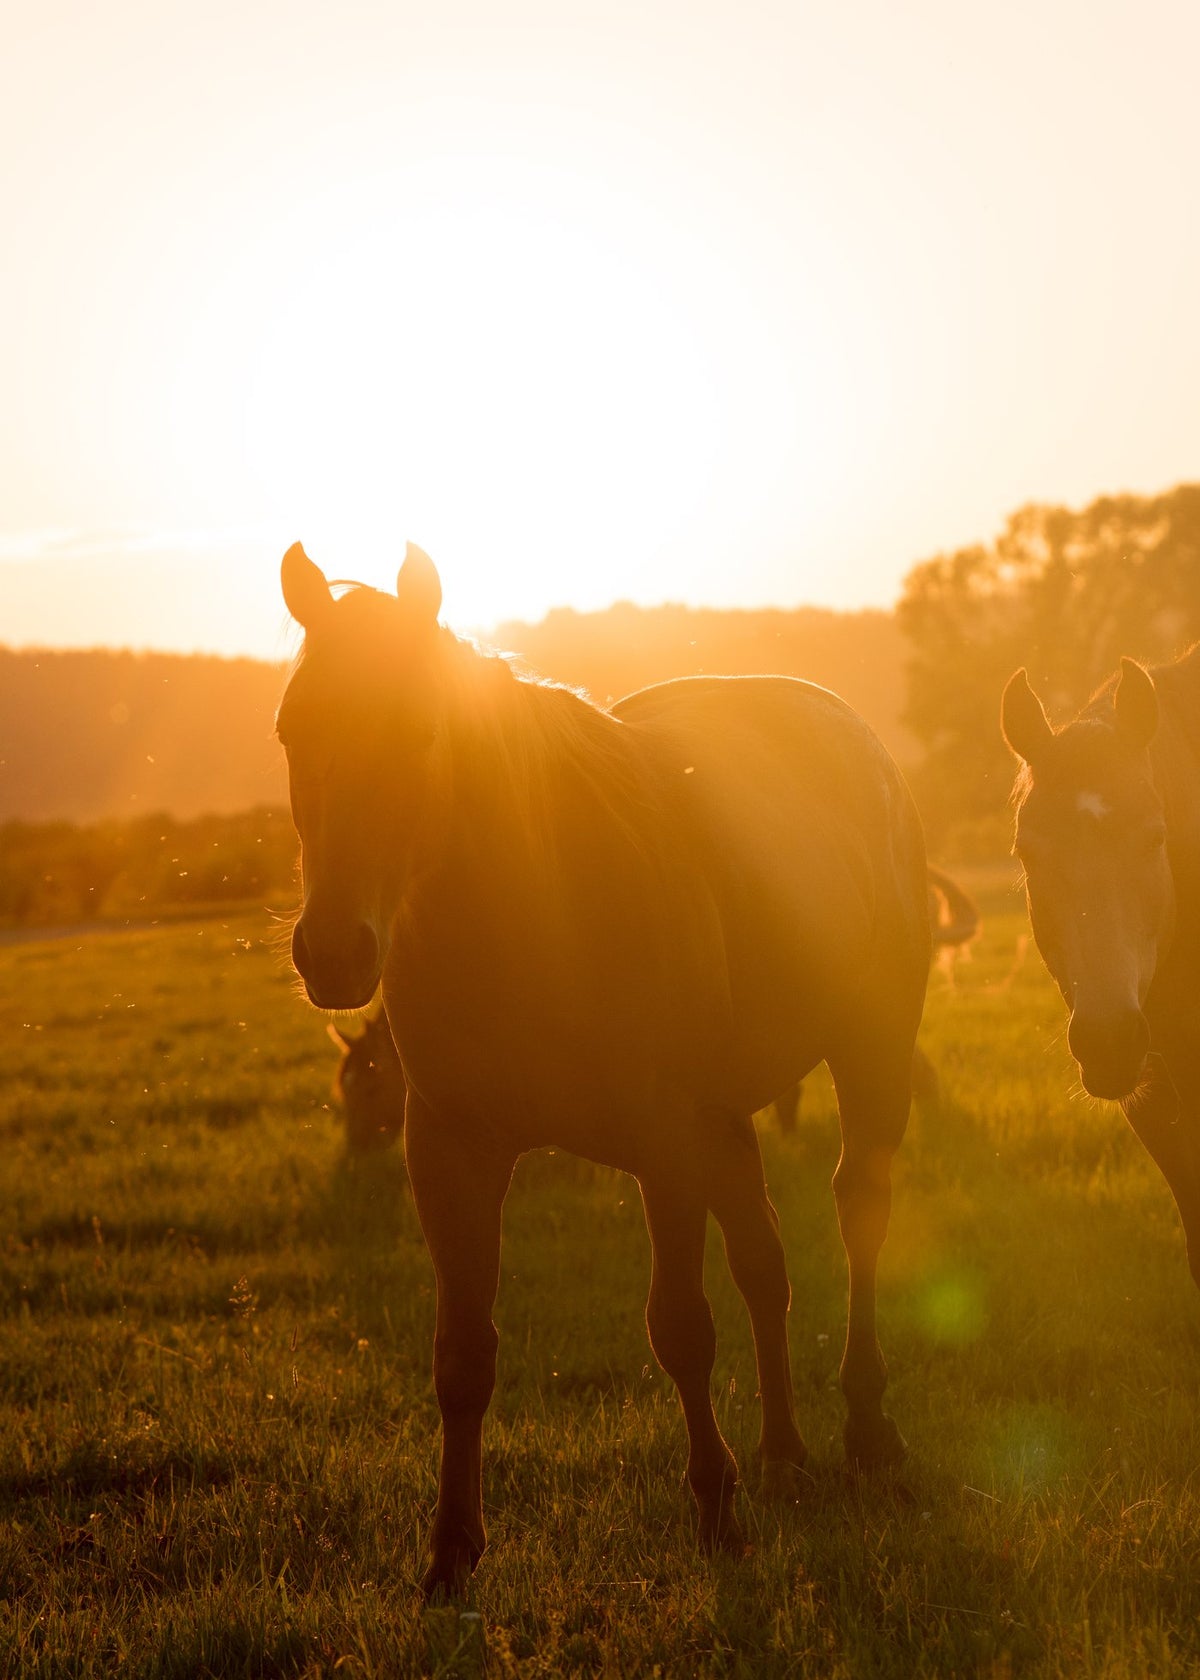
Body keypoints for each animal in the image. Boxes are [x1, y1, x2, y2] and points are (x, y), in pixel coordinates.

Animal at [278, 540, 932, 1597]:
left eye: (419, 729)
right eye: (293, 729)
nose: (334, 952)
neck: (536, 907)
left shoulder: (664, 1145)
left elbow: (681, 1329)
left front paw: (716, 1509)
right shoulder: (452, 1152)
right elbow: (462, 1354)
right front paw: (451, 1550)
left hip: (865, 1054)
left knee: (857, 1214)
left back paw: (867, 1430)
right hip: (727, 1123)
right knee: (767, 1267)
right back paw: (785, 1454)